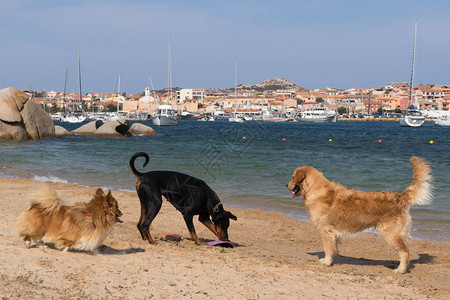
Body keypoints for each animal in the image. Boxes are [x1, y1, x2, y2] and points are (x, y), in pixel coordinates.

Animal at [288, 156, 432, 274]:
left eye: (292, 176)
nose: (286, 185)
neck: (317, 189)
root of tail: (398, 197)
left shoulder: (326, 230)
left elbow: (327, 248)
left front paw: (326, 262)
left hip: (391, 235)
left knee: (405, 252)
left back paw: (400, 269)